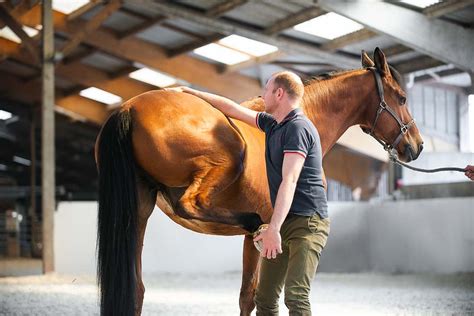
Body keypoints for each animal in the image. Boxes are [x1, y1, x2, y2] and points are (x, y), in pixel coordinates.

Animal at [92, 47, 422, 316]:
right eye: (402, 98)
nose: (416, 146)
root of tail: (128, 109)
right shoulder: (262, 241)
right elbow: (250, 297)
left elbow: (247, 297)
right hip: (228, 159)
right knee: (190, 203)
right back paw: (252, 221)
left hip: (137, 214)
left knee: (136, 291)